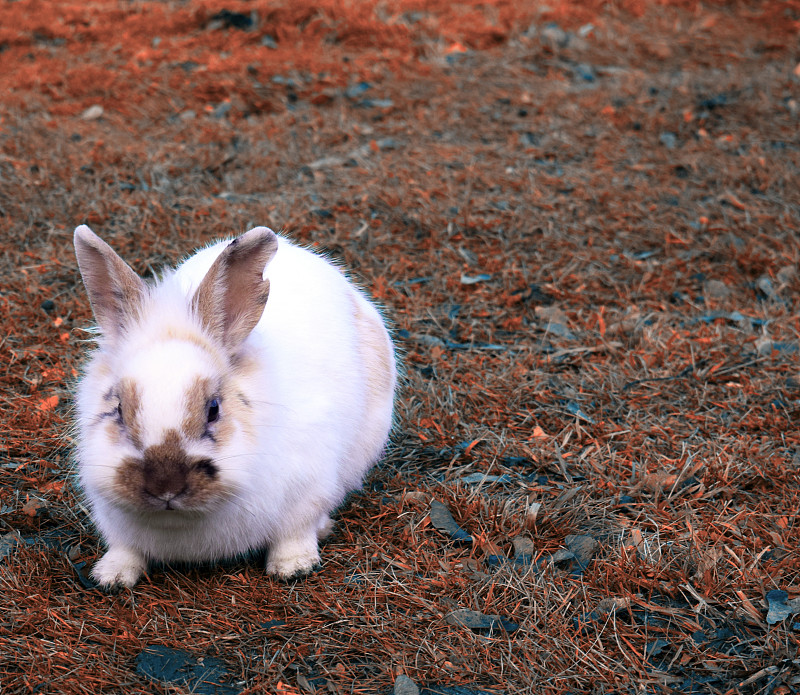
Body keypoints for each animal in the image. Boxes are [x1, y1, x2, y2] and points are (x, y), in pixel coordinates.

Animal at [73, 226, 398, 588]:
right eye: (118, 409)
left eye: (214, 409)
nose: (166, 486)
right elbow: (125, 548)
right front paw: (111, 576)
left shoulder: (308, 490)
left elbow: (295, 532)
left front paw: (293, 566)